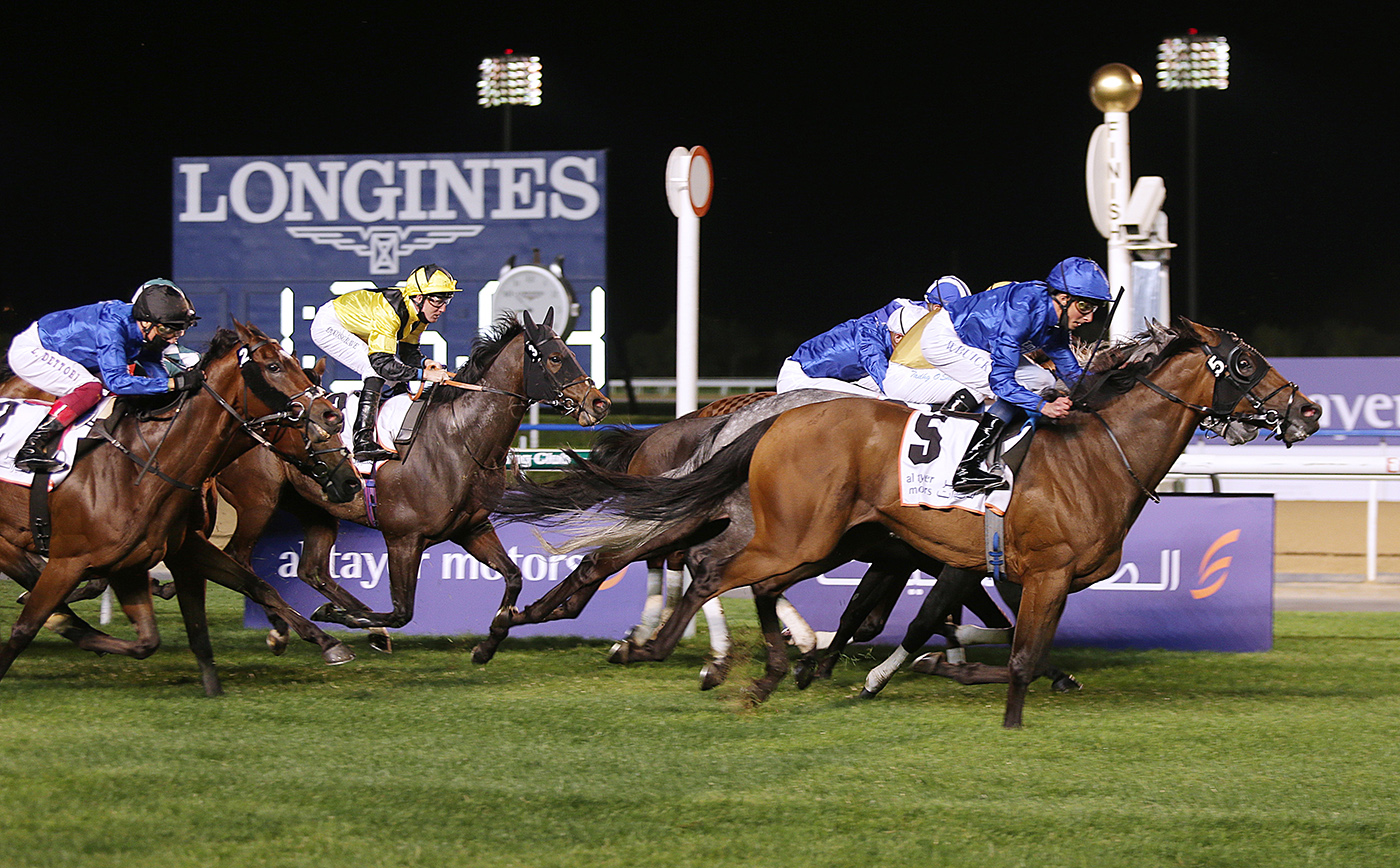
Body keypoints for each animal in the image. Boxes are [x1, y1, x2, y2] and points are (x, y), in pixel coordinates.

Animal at [0, 321, 363, 693]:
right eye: (274, 366)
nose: (331, 415)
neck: (143, 463)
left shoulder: (178, 548)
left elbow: (252, 587)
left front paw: (324, 639)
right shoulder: (72, 560)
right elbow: (27, 625)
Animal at [211, 310, 611, 656]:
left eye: (571, 353)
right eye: (556, 358)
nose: (600, 403)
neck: (458, 438)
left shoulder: (472, 528)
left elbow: (514, 577)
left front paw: (489, 642)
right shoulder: (403, 538)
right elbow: (402, 611)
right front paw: (336, 615)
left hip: (315, 506)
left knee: (312, 570)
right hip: (258, 501)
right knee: (239, 560)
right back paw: (283, 630)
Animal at [488, 319, 1320, 727]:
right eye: (1248, 364)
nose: (1308, 410)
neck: (1094, 453)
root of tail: (758, 421)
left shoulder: (977, 566)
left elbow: (941, 627)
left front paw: (873, 667)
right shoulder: (1009, 566)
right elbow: (975, 638)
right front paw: (917, 679)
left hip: (811, 537)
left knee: (724, 574)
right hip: (792, 532)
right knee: (690, 566)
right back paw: (646, 642)